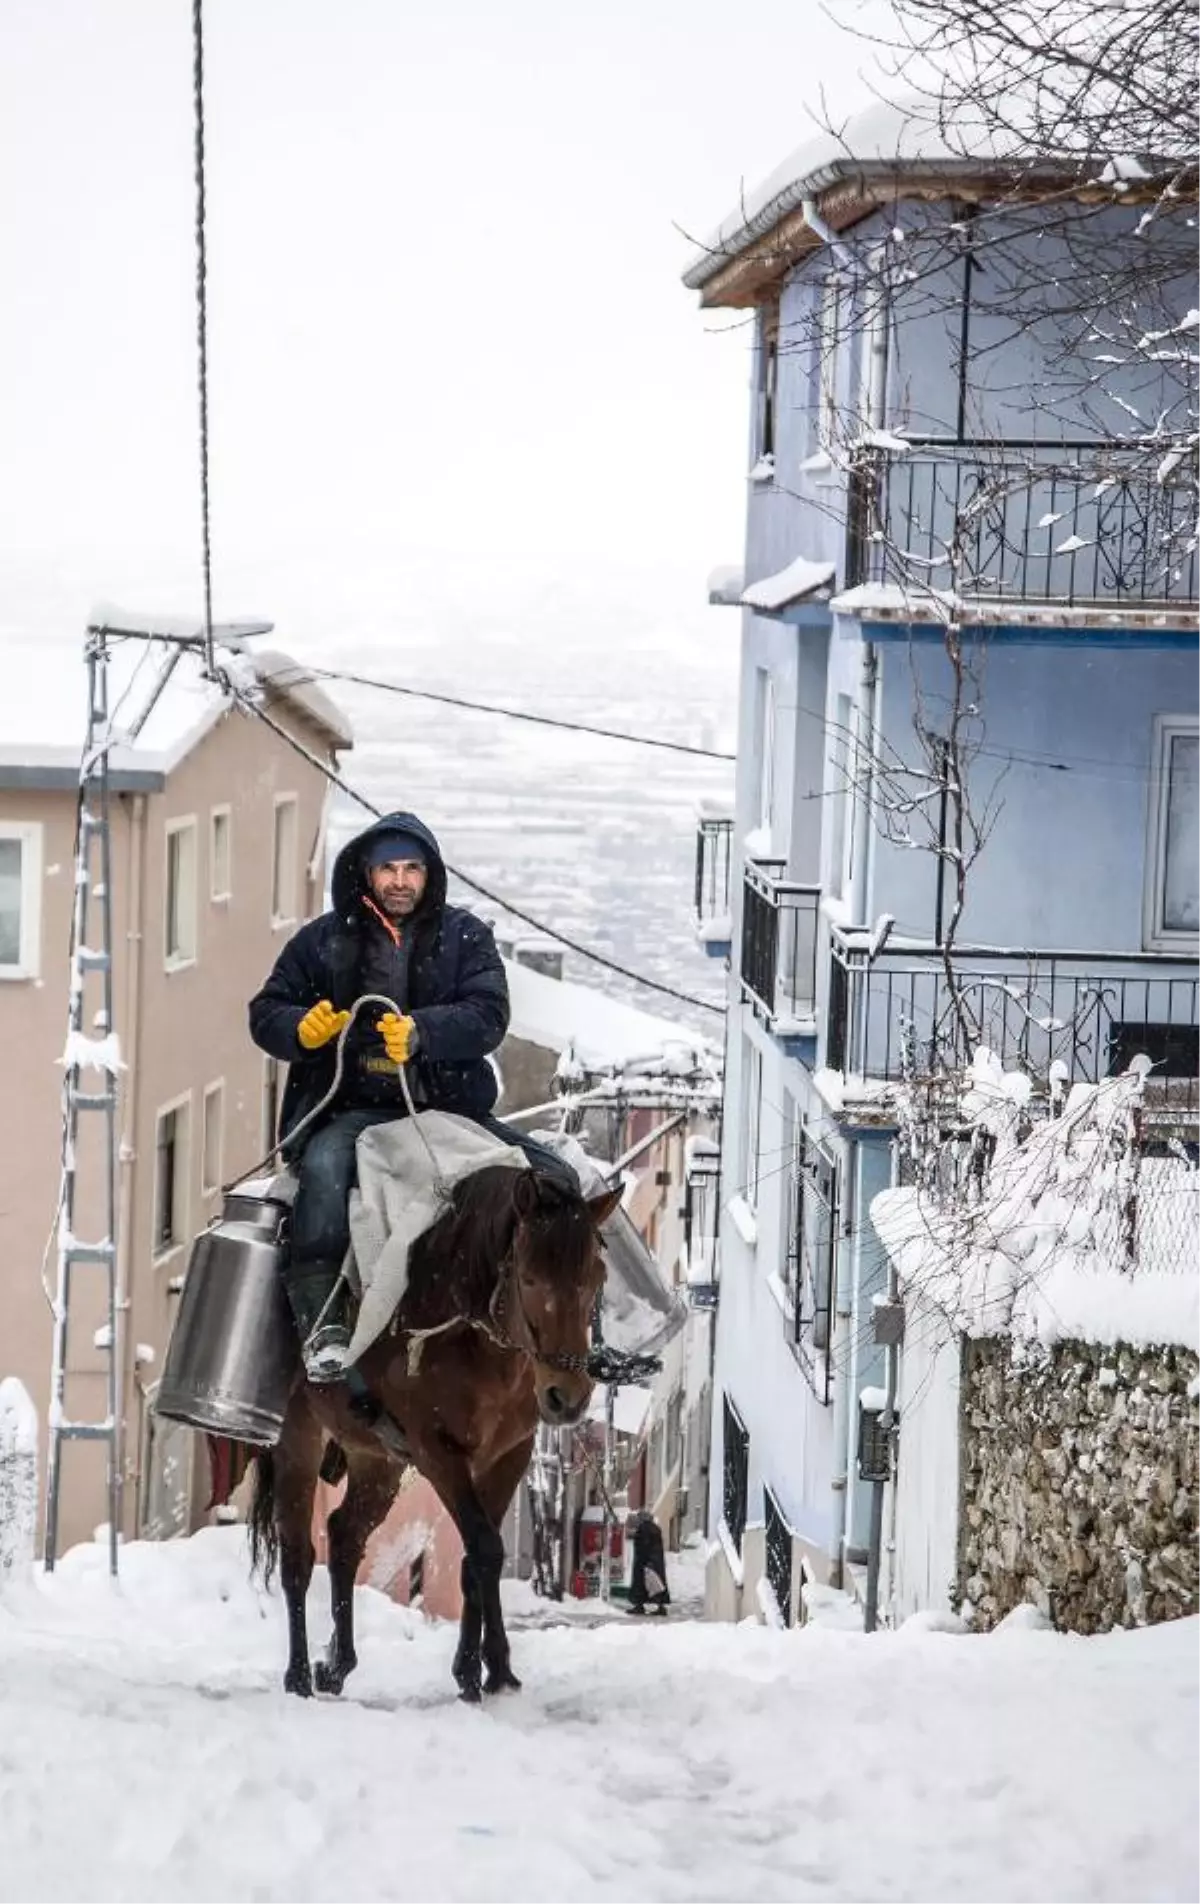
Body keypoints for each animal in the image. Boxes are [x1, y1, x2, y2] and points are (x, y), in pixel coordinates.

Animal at [245, 1165, 620, 1705]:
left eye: (597, 1277)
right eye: (529, 1277)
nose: (566, 1397)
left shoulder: (508, 1454)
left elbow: (476, 1557)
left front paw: (495, 1668)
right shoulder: (437, 1451)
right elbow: (485, 1547)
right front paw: (473, 1672)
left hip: (378, 1459)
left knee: (344, 1535)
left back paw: (337, 1664)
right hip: (300, 1436)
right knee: (297, 1553)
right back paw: (298, 1675)